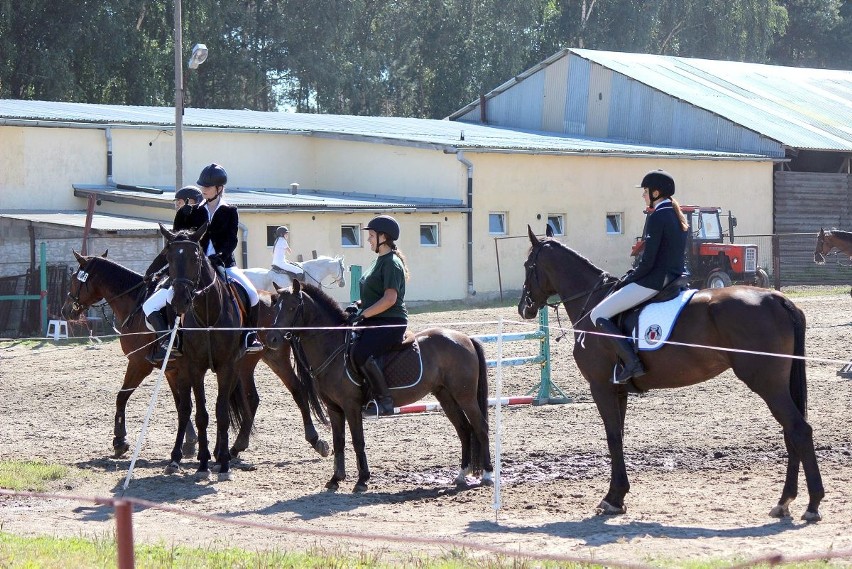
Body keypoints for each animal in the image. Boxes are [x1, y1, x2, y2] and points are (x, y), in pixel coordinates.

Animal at [266, 278, 492, 490]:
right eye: (274, 307)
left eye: (292, 307)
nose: (272, 339)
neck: (333, 347)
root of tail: (465, 338)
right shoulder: (334, 408)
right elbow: (339, 441)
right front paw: (336, 479)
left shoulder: (351, 406)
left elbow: (358, 441)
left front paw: (362, 480)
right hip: (446, 396)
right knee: (464, 429)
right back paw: (462, 474)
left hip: (465, 396)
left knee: (480, 427)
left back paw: (488, 474)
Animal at [516, 225, 824, 520]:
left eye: (528, 265)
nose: (523, 308)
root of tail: (776, 297)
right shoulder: (618, 390)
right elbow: (620, 436)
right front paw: (619, 496)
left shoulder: (601, 386)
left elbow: (613, 437)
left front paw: (612, 498)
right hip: (778, 384)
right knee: (790, 432)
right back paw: (785, 502)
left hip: (767, 383)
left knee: (798, 429)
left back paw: (811, 504)